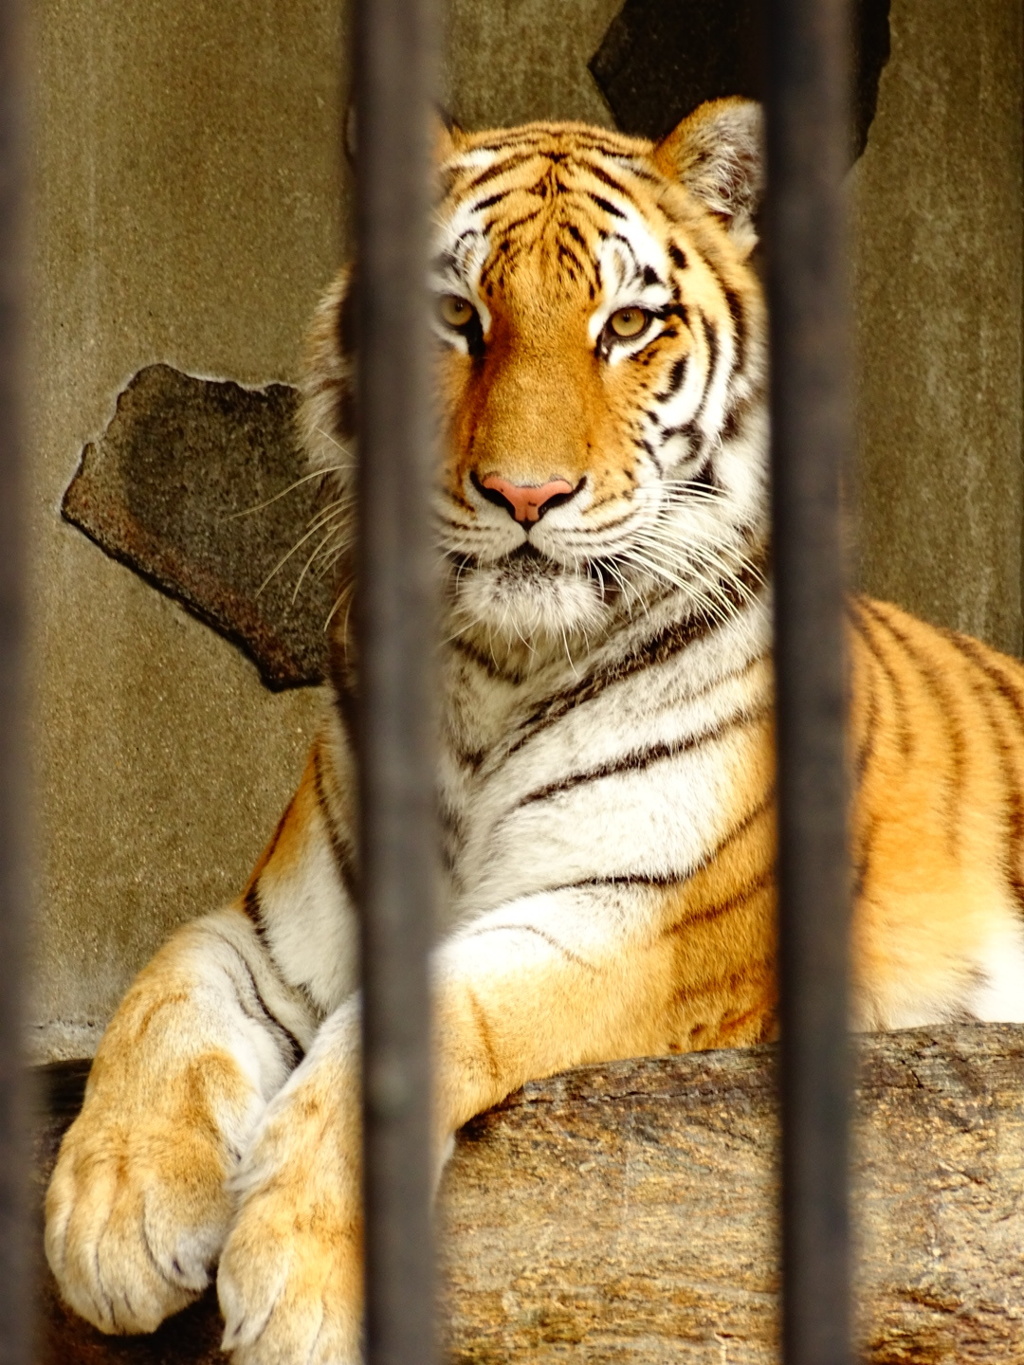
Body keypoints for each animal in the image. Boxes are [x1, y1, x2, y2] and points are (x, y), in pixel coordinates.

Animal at [44, 98, 1024, 1365]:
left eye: (628, 325)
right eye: (457, 314)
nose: (524, 496)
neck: (496, 677)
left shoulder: (633, 920)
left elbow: (424, 1023)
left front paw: (300, 1283)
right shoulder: (276, 930)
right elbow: (163, 991)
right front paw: (113, 1214)